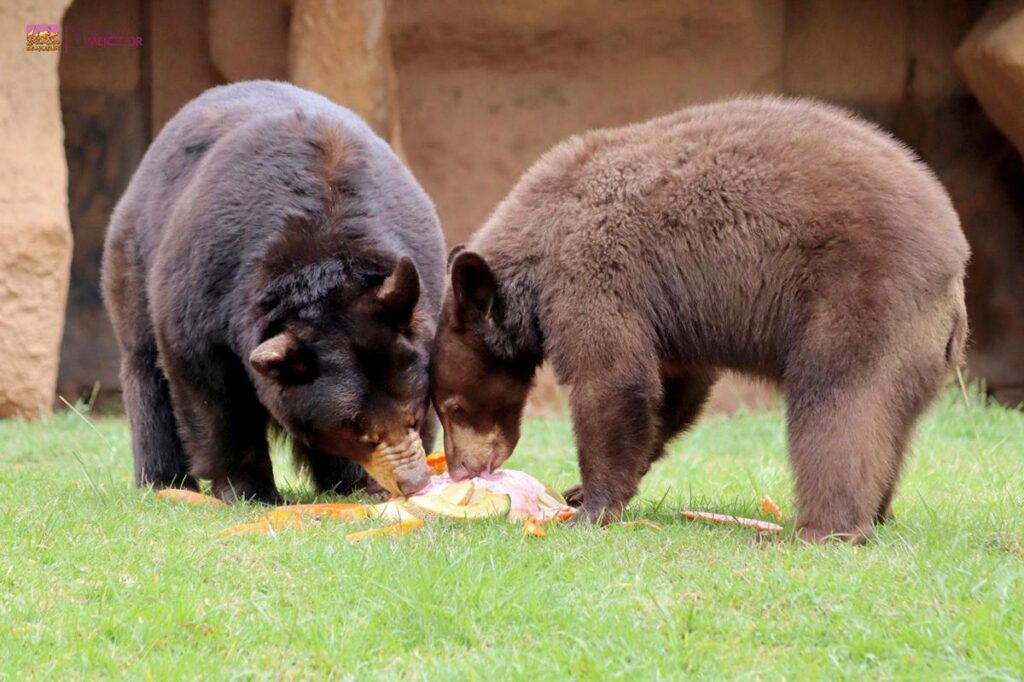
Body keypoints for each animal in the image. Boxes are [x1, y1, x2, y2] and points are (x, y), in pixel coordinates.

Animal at [100, 82, 448, 501]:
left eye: (414, 411)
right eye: (361, 431)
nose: (413, 483)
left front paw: (365, 483)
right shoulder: (209, 283)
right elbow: (210, 391)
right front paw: (247, 489)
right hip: (133, 256)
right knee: (145, 367)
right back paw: (163, 481)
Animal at [430, 96, 966, 540]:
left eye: (453, 406)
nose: (460, 470)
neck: (540, 246)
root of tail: (954, 266)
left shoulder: (594, 271)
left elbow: (613, 378)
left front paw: (591, 507)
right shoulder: (667, 319)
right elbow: (672, 391)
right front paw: (584, 492)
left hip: (857, 299)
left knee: (839, 405)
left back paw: (820, 529)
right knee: (890, 422)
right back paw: (878, 511)